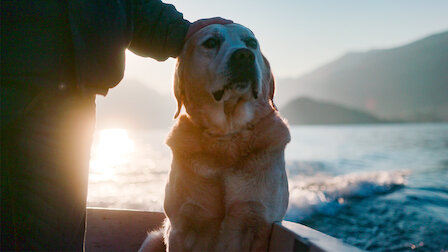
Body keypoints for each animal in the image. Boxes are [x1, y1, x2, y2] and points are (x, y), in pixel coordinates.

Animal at [142, 23, 292, 252]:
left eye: (251, 43)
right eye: (211, 42)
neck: (227, 136)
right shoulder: (179, 227)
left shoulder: (261, 223)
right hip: (152, 239)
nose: (244, 55)